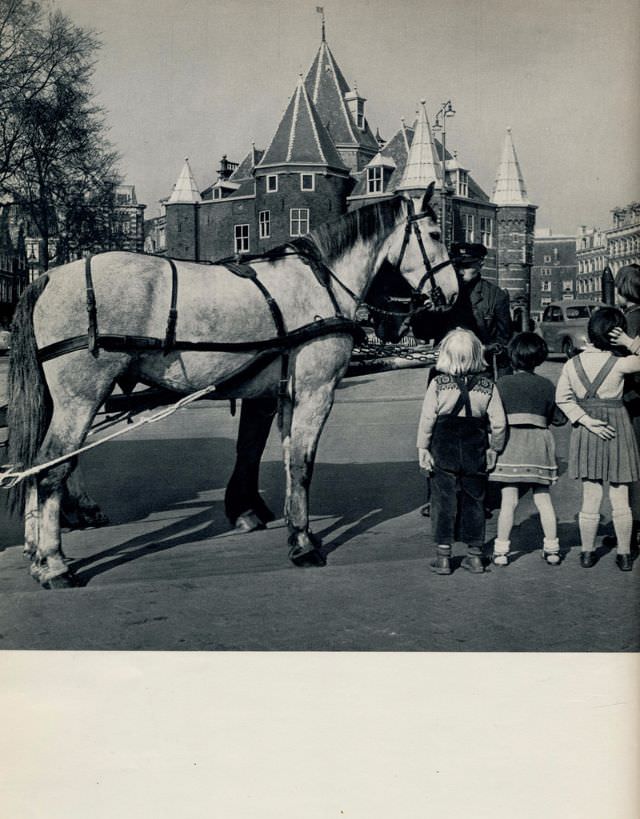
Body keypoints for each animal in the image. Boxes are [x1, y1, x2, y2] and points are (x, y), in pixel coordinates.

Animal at [5, 186, 456, 588]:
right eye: (436, 234)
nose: (450, 294)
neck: (321, 282)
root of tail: (47, 277)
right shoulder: (316, 391)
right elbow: (302, 464)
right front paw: (304, 544)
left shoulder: (284, 394)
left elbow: (284, 457)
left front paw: (292, 529)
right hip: (81, 397)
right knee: (51, 468)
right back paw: (54, 564)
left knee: (35, 464)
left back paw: (38, 552)